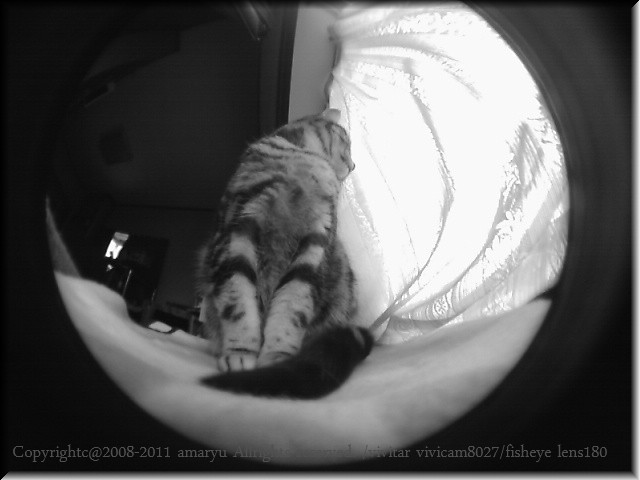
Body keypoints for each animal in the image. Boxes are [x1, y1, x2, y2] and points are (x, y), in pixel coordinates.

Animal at [196, 108, 373, 398]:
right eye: (346, 141)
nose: (354, 165)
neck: (304, 159)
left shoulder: (315, 246)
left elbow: (292, 307)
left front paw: (277, 359)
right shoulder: (238, 231)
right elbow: (238, 302)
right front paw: (240, 353)